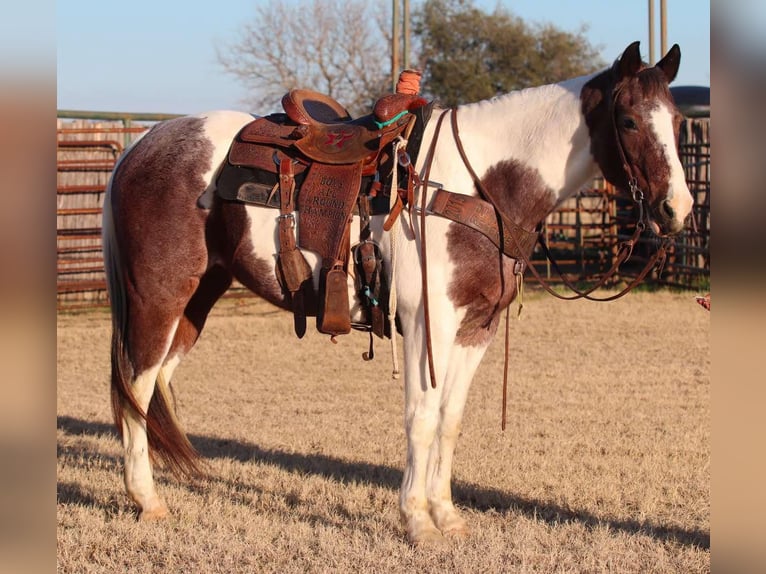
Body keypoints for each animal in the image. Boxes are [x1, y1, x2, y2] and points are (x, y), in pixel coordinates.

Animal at [102, 42, 692, 546]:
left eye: (678, 121)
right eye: (629, 120)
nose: (677, 209)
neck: (477, 187)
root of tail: (139, 149)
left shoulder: (475, 329)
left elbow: (450, 420)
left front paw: (446, 515)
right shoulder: (428, 323)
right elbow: (422, 418)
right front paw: (417, 521)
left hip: (196, 302)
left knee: (154, 386)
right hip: (159, 297)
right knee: (136, 385)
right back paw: (147, 501)